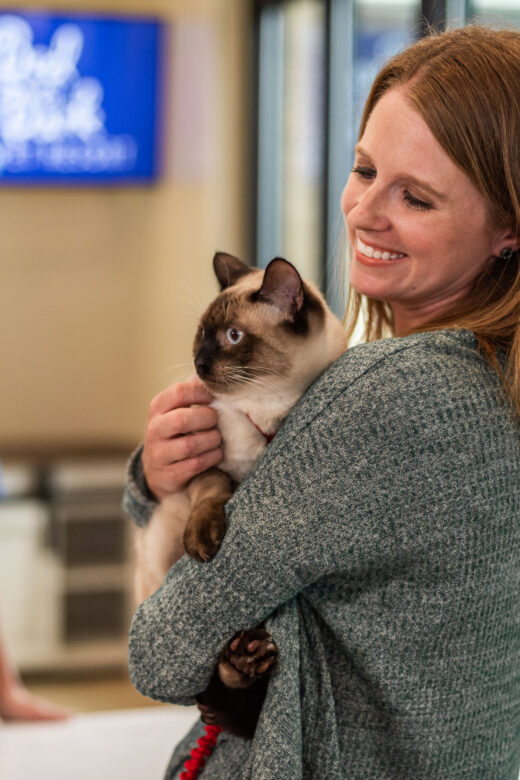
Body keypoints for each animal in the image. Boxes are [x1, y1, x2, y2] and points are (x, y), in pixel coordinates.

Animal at [134, 251, 348, 736]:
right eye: (201, 335)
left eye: (233, 337)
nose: (198, 362)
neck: (266, 409)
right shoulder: (209, 464)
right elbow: (216, 493)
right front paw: (205, 543)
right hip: (160, 542)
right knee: (214, 691)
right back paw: (244, 659)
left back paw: (247, 659)